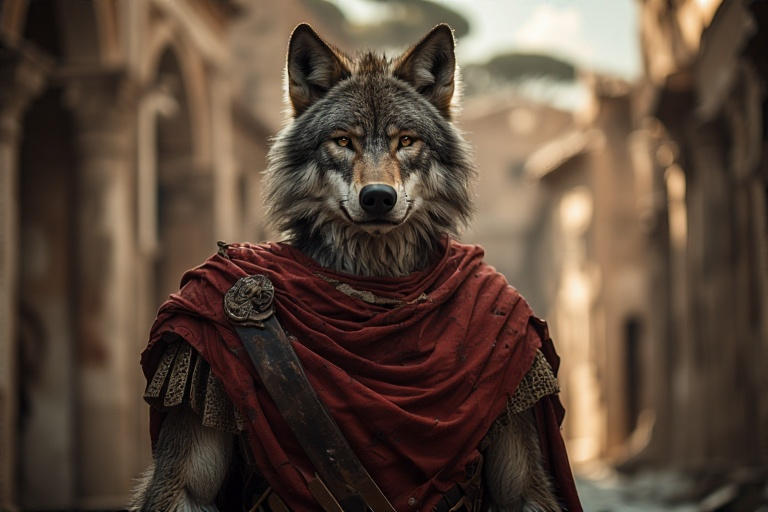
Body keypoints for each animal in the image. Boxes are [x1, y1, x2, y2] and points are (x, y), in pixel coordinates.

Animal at [131, 24, 566, 511]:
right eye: (343, 141)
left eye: (405, 140)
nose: (377, 197)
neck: (375, 290)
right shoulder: (192, 373)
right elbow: (186, 486)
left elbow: (522, 490)